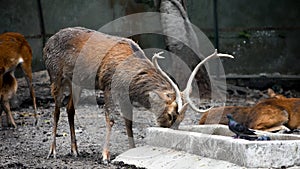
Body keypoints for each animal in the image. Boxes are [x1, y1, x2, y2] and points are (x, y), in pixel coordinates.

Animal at [43, 26, 233, 164]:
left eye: (181, 119)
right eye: (172, 114)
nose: (166, 129)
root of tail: (46, 44)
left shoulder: (124, 94)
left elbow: (128, 121)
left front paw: (131, 149)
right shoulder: (107, 85)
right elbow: (111, 119)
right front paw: (105, 156)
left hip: (75, 82)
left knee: (70, 109)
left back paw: (75, 150)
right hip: (55, 75)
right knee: (56, 110)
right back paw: (52, 151)